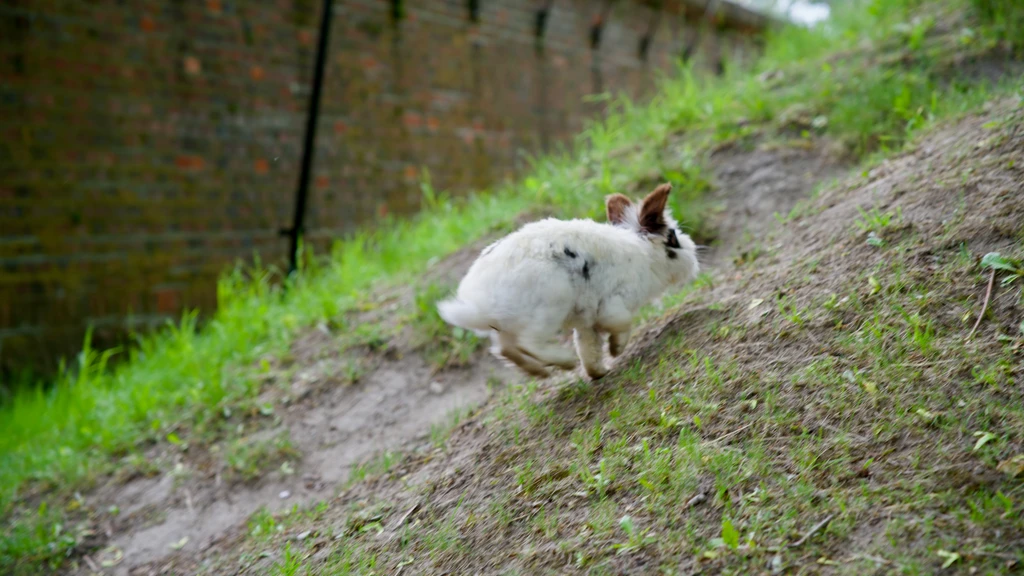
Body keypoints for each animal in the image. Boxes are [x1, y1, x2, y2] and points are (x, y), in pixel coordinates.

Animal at [437, 183, 699, 380]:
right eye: (673, 239)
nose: (693, 254)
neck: (643, 252)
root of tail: (480, 305)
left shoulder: (586, 321)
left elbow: (588, 347)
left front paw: (598, 372)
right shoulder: (614, 304)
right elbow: (621, 325)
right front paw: (616, 349)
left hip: (508, 326)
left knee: (506, 349)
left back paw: (540, 372)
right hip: (551, 305)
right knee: (529, 343)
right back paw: (565, 362)